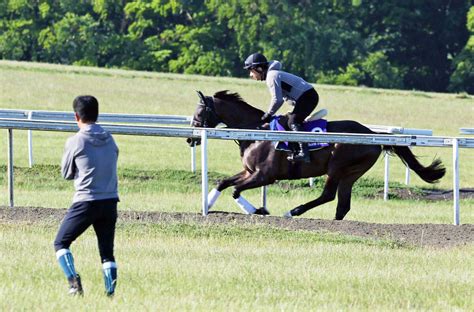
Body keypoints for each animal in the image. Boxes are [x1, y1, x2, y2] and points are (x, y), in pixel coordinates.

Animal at [187, 90, 446, 219]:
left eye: (199, 111)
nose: (190, 138)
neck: (256, 131)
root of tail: (373, 134)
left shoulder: (265, 176)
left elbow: (235, 190)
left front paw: (259, 210)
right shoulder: (249, 171)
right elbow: (223, 183)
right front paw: (206, 206)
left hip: (338, 167)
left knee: (328, 196)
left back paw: (292, 212)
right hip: (351, 173)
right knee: (342, 205)